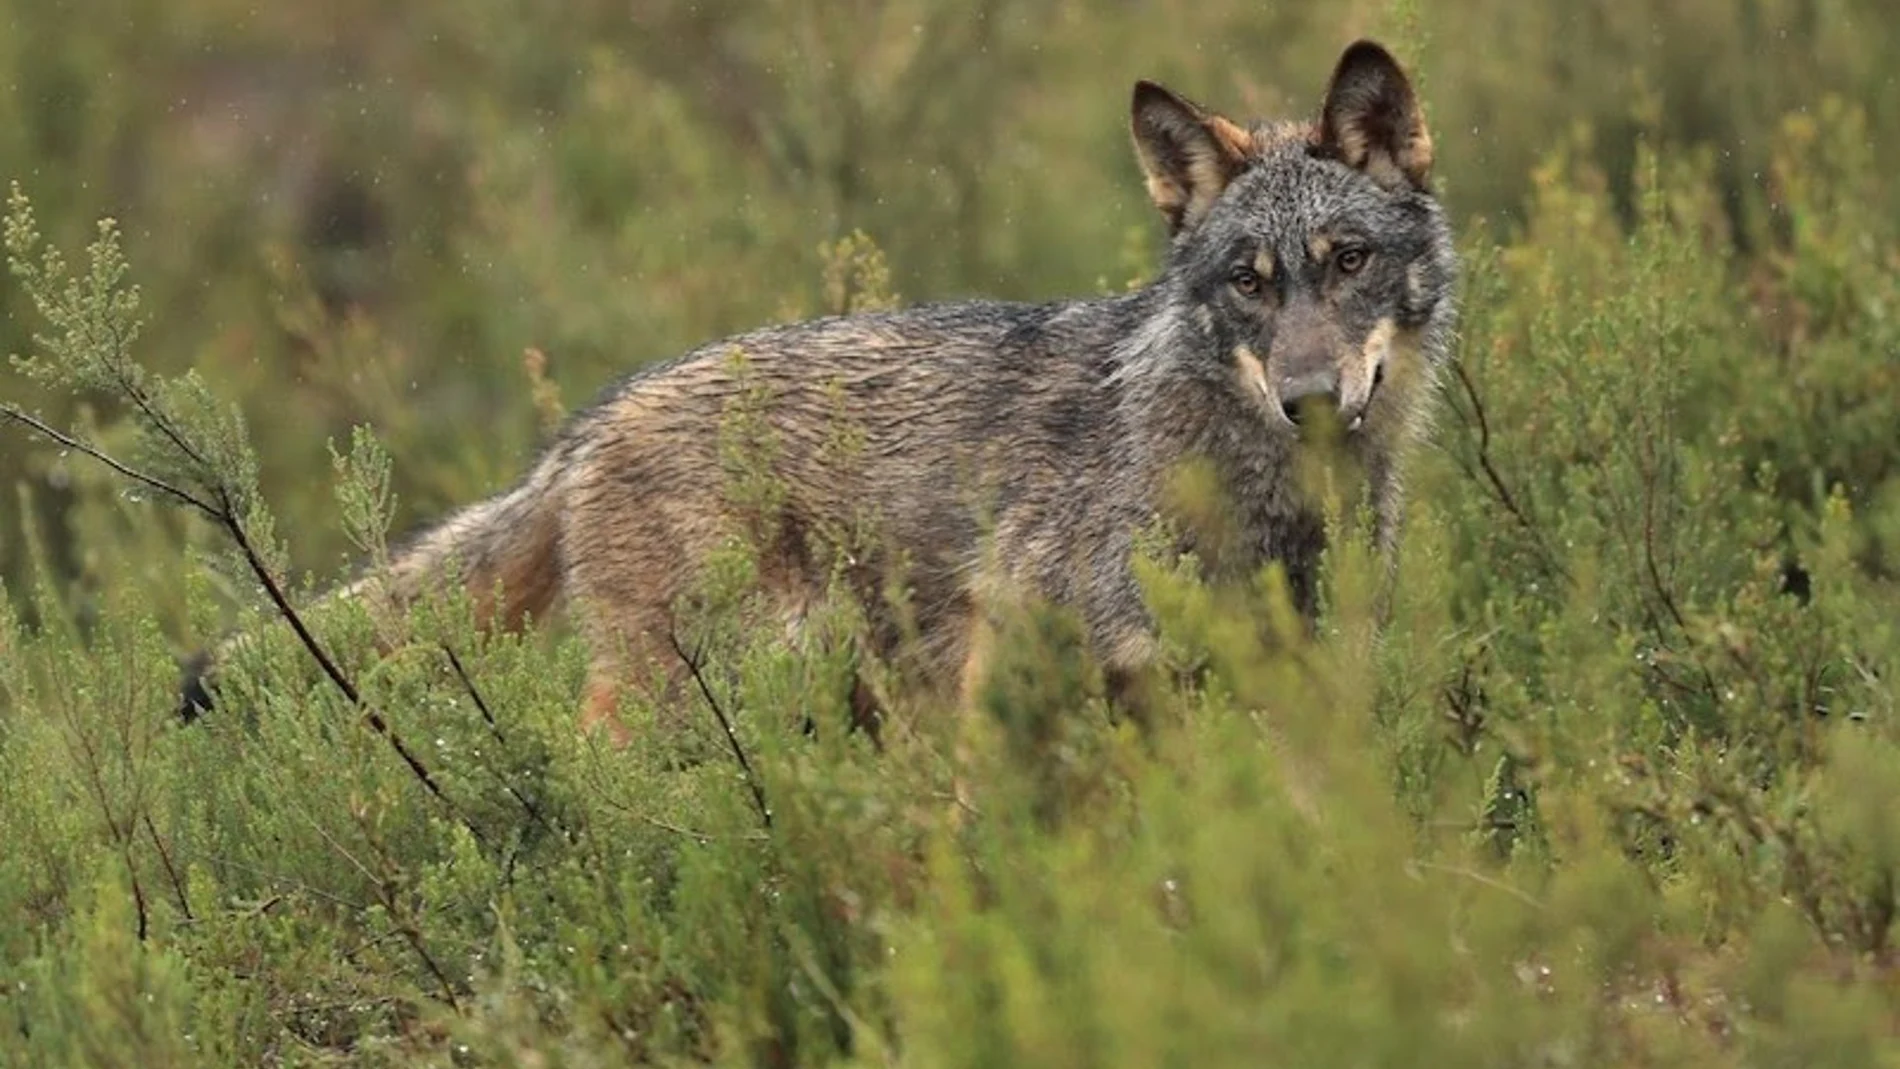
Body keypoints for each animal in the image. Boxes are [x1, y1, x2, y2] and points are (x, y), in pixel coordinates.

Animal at [182, 40, 1457, 736]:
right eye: (1247, 283)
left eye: (1348, 261)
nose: (1308, 398)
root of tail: (587, 424)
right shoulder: (1027, 656)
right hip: (693, 691)